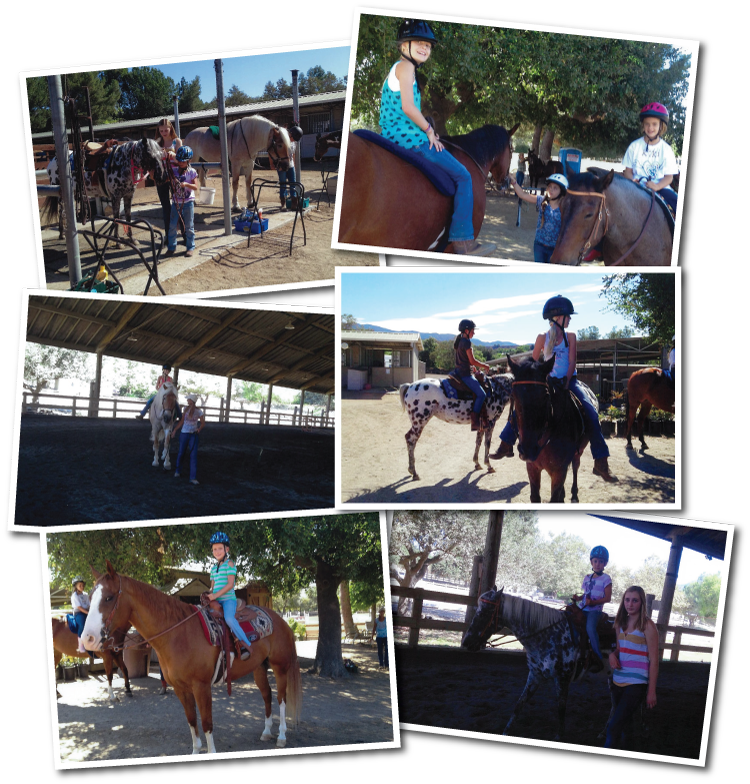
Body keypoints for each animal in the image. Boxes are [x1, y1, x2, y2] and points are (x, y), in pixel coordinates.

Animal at [83, 560, 302, 752]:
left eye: (109, 597)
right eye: (90, 597)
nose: (87, 639)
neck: (179, 633)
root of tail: (280, 620)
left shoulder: (201, 687)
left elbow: (206, 724)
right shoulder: (181, 689)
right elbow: (192, 722)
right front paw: (196, 751)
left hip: (280, 667)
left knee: (281, 698)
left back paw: (282, 736)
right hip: (259, 667)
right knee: (267, 696)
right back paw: (266, 732)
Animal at [462, 588, 612, 740]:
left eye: (485, 612)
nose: (466, 642)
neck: (550, 634)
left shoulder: (562, 679)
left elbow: (561, 710)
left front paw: (559, 736)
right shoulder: (535, 675)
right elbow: (519, 704)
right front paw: (506, 732)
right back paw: (603, 732)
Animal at [512, 354, 592, 506]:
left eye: (546, 396)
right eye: (515, 396)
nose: (528, 450)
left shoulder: (559, 470)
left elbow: (555, 498)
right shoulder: (532, 468)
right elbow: (535, 498)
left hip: (578, 453)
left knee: (575, 467)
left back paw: (574, 494)